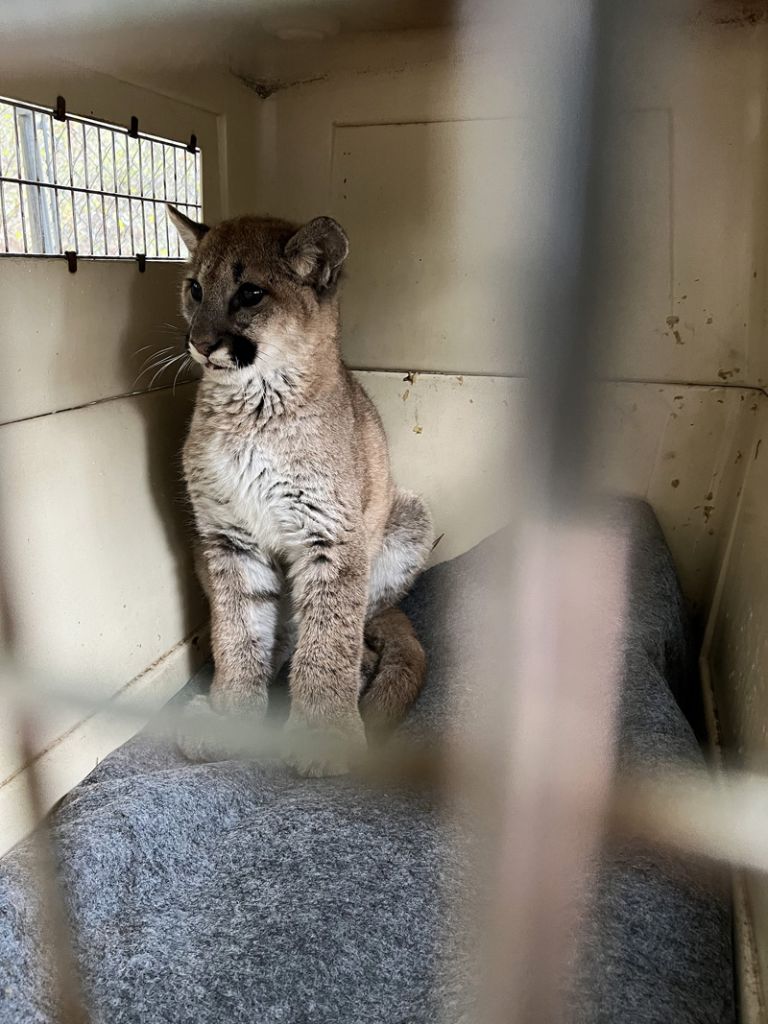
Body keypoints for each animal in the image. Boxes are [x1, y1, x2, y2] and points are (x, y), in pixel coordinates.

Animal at [167, 211, 434, 778]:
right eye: (195, 288)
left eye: (250, 293)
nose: (199, 342)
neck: (252, 404)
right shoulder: (227, 538)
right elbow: (238, 628)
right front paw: (233, 718)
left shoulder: (331, 537)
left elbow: (329, 636)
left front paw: (323, 734)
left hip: (409, 514)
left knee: (356, 633)